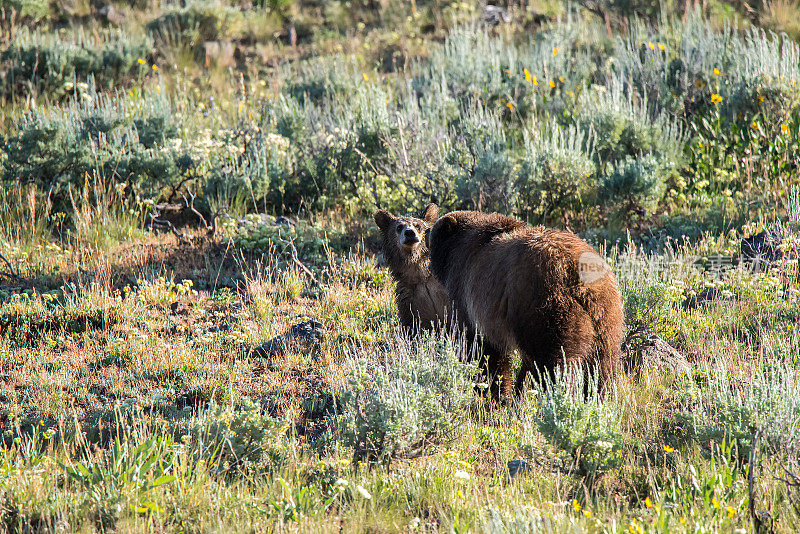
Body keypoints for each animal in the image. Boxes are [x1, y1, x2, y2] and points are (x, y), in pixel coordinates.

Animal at [374, 206, 454, 340]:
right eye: (399, 227)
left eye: (418, 225)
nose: (409, 233)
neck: (421, 275)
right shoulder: (410, 300)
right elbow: (412, 328)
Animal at [424, 211, 624, 400]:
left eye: (432, 231)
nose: (425, 232)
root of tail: (577, 276)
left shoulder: (469, 296)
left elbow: (483, 350)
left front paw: (493, 391)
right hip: (607, 316)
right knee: (602, 365)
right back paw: (599, 397)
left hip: (546, 308)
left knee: (554, 362)